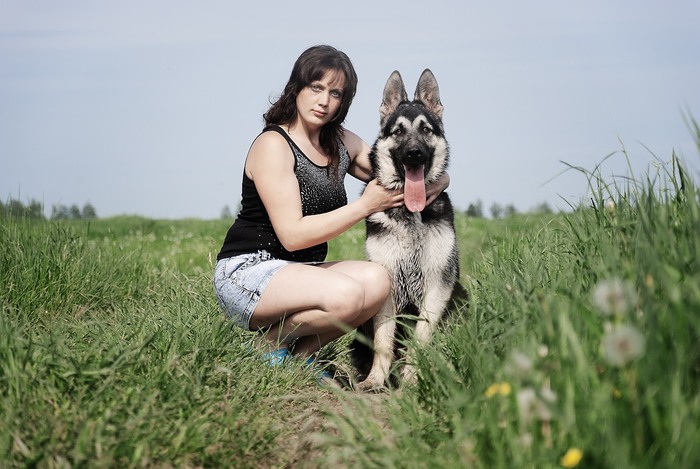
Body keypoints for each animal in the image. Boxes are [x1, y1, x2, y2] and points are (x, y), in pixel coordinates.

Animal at [351, 69, 464, 392]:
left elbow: (421, 338)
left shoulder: (438, 283)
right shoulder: (387, 284)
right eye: (398, 132)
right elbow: (383, 341)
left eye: (425, 129)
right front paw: (376, 379)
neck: (411, 214)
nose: (414, 154)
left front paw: (413, 378)